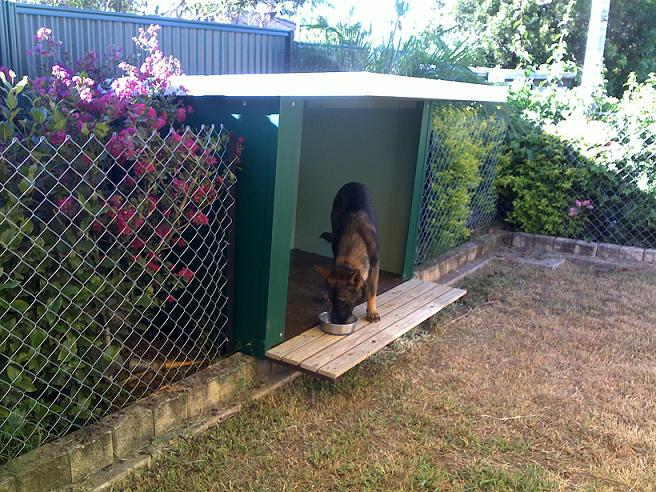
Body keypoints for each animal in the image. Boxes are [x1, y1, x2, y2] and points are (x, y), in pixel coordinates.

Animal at [314, 182, 380, 324]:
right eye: (333, 300)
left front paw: (372, 311)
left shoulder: (375, 265)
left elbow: (372, 291)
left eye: (341, 301)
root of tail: (354, 183)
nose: (334, 321)